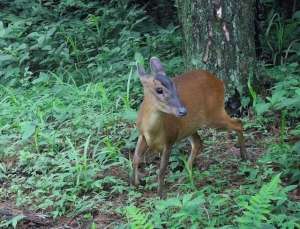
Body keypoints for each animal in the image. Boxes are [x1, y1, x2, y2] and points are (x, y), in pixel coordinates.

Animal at [131, 56, 246, 197]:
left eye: (174, 85)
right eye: (159, 90)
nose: (183, 111)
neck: (153, 131)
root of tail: (219, 81)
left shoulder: (170, 138)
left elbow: (162, 170)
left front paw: (161, 195)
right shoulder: (141, 134)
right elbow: (135, 159)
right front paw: (136, 183)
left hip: (214, 114)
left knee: (238, 123)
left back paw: (244, 156)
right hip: (191, 127)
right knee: (198, 143)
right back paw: (184, 177)